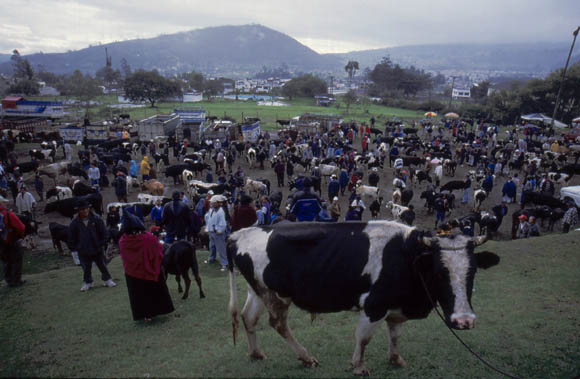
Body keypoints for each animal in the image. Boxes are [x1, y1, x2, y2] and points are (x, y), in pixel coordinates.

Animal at [227, 221, 498, 376]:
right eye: (440, 272)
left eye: (473, 271)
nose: (464, 321)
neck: (406, 254)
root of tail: (239, 234)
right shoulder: (374, 305)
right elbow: (364, 338)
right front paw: (358, 366)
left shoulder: (395, 306)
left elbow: (395, 334)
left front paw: (396, 359)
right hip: (276, 296)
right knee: (278, 324)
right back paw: (306, 357)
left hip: (258, 291)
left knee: (248, 318)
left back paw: (256, 353)